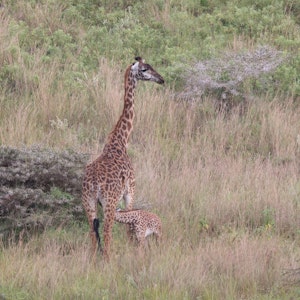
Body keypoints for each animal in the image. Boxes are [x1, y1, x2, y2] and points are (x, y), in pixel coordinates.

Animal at [82, 57, 164, 258]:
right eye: (145, 69)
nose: (161, 79)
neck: (120, 141)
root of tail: (93, 183)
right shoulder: (130, 191)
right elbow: (129, 226)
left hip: (88, 202)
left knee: (93, 232)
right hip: (109, 203)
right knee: (107, 232)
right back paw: (108, 259)